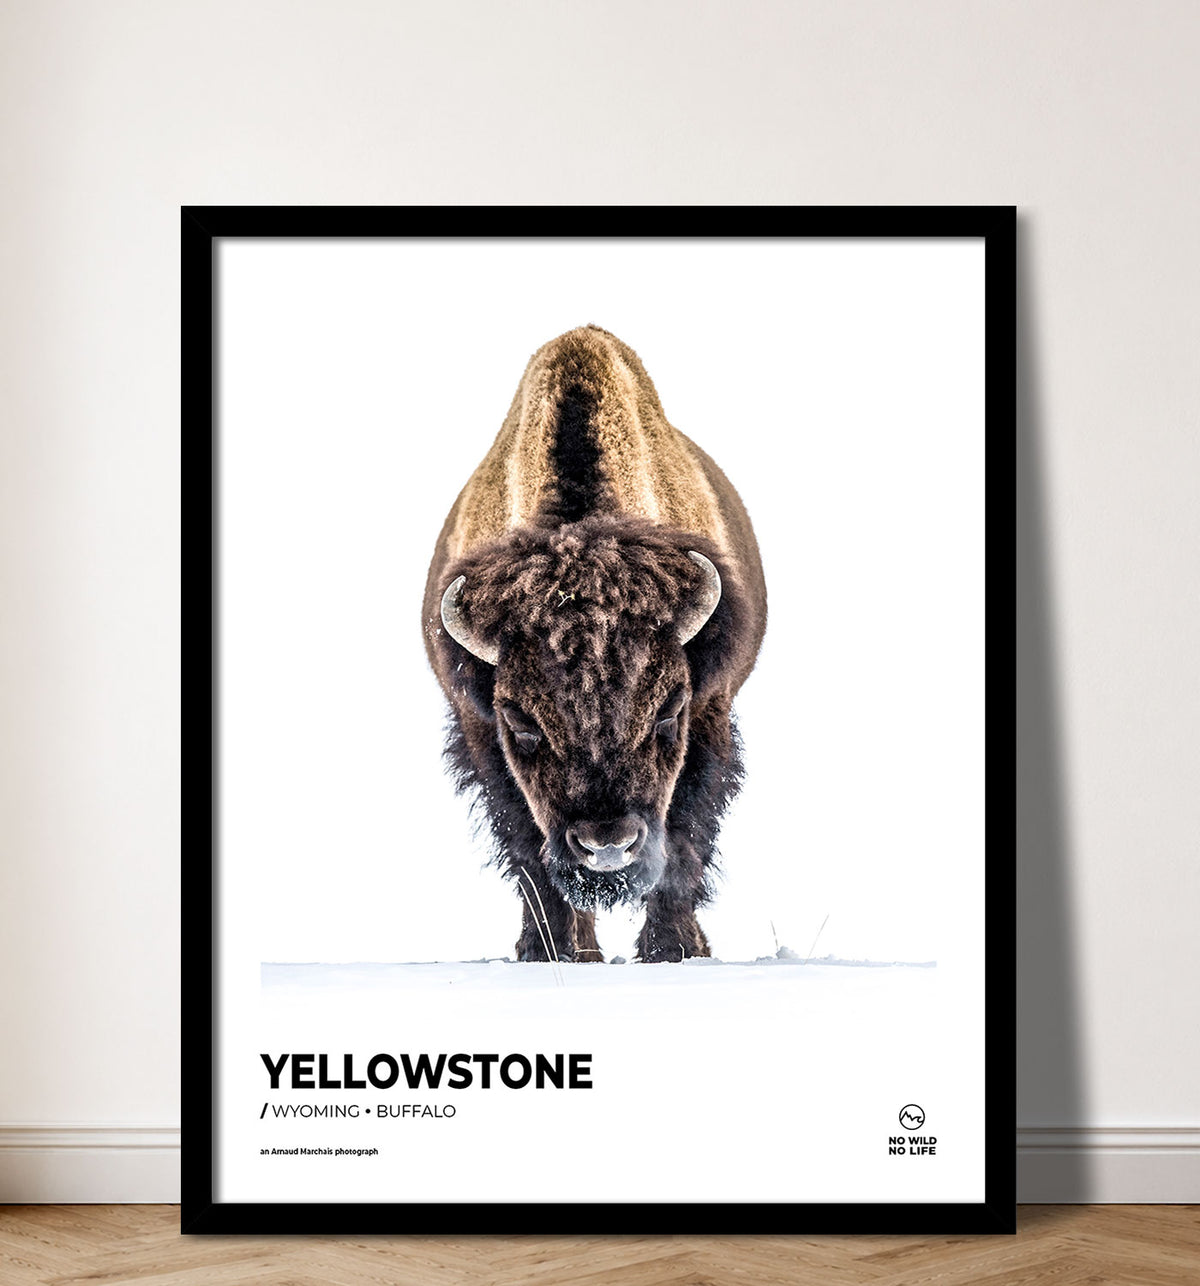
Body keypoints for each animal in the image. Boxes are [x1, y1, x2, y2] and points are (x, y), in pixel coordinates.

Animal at [423, 326, 766, 962]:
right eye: (521, 721)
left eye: (669, 710)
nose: (607, 845)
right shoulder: (480, 731)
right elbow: (530, 853)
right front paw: (549, 952)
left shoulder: (711, 711)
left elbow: (684, 840)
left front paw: (672, 950)